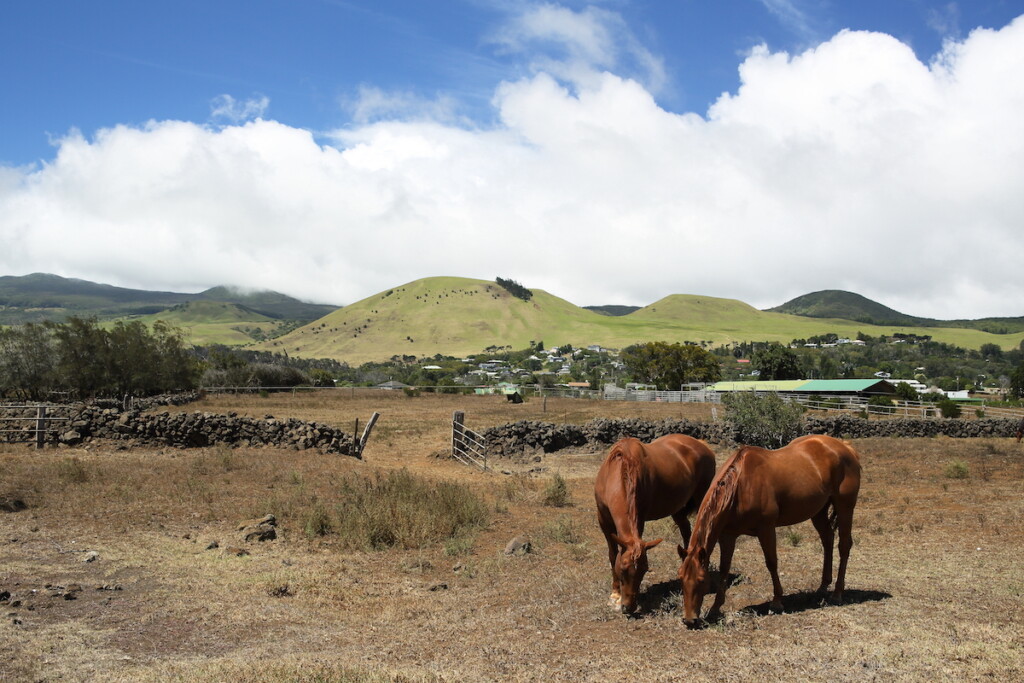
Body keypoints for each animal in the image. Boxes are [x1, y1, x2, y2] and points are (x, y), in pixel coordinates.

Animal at [594, 434, 716, 614]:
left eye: (644, 570)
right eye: (622, 569)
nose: (628, 607)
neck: (617, 472)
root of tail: (701, 444)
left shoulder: (639, 519)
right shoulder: (603, 520)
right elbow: (612, 554)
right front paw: (615, 595)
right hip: (678, 509)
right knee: (686, 532)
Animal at [678, 434, 861, 627]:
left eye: (701, 579)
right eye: (680, 578)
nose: (689, 619)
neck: (740, 485)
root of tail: (845, 447)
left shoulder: (766, 528)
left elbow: (771, 562)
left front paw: (777, 601)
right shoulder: (727, 535)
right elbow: (724, 568)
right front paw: (715, 608)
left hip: (845, 507)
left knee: (844, 545)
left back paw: (837, 593)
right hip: (818, 512)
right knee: (827, 539)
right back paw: (823, 586)